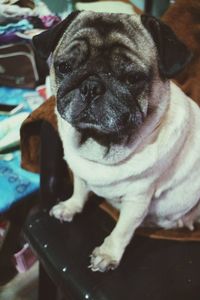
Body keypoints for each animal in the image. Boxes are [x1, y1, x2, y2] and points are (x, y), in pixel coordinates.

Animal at [32, 10, 200, 272]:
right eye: (64, 67)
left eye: (133, 77)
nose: (91, 86)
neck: (99, 145)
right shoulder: (81, 173)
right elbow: (80, 190)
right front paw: (71, 206)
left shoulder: (137, 200)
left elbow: (122, 230)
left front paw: (108, 254)